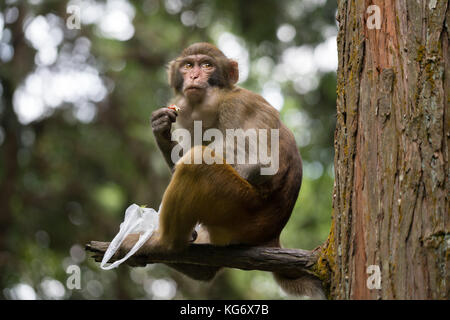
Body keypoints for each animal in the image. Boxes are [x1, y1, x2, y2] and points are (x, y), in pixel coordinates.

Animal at [118, 43, 326, 300]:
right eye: (188, 65)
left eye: (207, 65)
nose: (194, 77)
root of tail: (272, 233)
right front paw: (161, 130)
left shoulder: (238, 107)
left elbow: (257, 162)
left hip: (241, 211)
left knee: (197, 164)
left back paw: (165, 244)